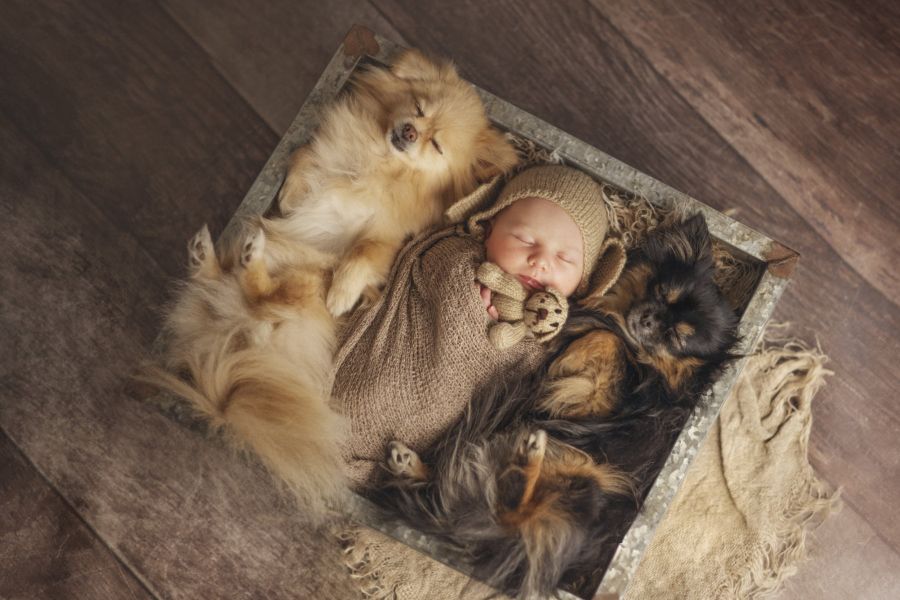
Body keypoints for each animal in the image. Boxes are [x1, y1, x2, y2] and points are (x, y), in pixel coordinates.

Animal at [372, 213, 740, 596]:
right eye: (659, 293)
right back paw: (411, 464)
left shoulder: (611, 396)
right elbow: (606, 336)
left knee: (511, 514)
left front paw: (572, 356)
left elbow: (605, 341)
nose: (651, 320)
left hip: (583, 484)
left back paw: (527, 456)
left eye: (676, 337)